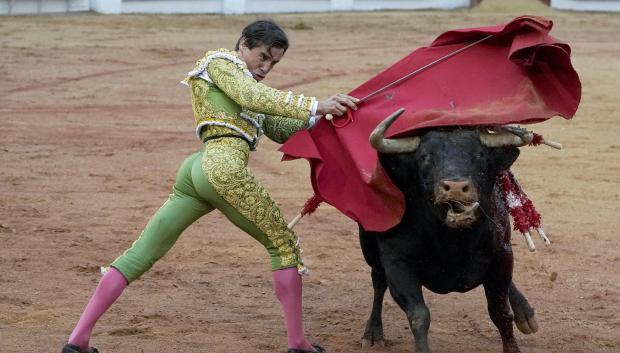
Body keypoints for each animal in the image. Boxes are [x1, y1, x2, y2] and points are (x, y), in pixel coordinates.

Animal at [360, 108, 540, 352]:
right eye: (425, 157)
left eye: (480, 155)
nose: (455, 187)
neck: (453, 240)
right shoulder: (397, 262)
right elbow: (419, 315)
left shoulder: (502, 254)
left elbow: (500, 312)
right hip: (369, 247)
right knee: (378, 280)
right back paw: (372, 333)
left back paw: (525, 313)